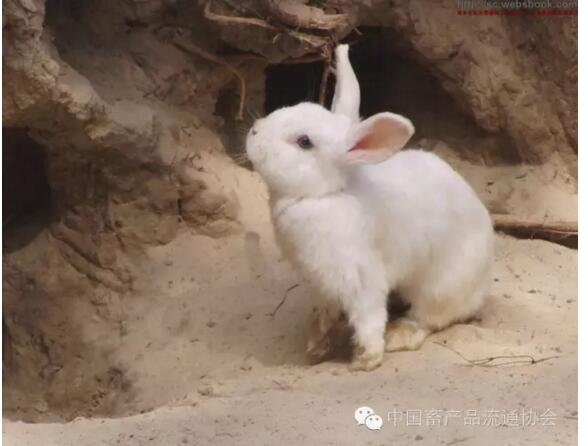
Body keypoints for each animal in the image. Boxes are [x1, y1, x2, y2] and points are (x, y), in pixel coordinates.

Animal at [246, 43, 494, 372]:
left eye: (304, 142)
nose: (254, 131)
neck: (327, 194)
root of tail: (484, 282)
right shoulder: (324, 283)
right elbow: (326, 310)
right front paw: (316, 345)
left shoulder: (361, 276)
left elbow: (368, 316)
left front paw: (365, 359)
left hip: (441, 286)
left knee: (430, 318)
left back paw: (400, 335)